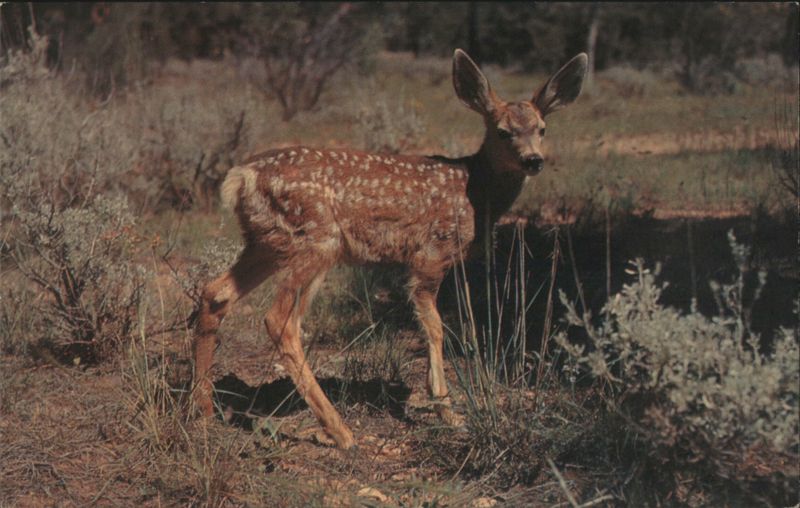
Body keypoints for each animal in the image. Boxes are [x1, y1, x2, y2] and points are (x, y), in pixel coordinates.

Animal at [192, 49, 587, 449]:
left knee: (215, 294)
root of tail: (241, 178)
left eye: (542, 128)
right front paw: (446, 409)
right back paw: (340, 431)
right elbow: (436, 328)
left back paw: (203, 410)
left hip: (267, 241)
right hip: (317, 240)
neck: (475, 191)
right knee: (280, 321)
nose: (533, 160)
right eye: (503, 131)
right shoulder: (430, 255)